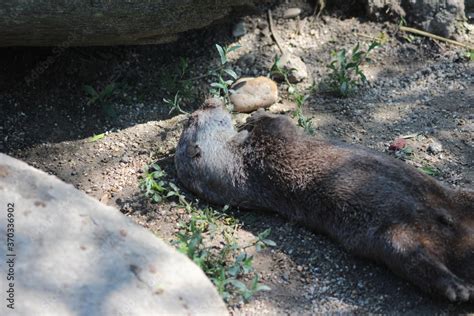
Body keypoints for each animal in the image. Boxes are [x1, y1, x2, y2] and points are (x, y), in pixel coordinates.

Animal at [176, 100, 474, 302]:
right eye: (193, 119)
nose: (208, 102)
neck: (245, 165)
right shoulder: (274, 139)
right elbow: (276, 121)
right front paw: (255, 116)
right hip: (394, 240)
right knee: (416, 261)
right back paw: (457, 289)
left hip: (458, 197)